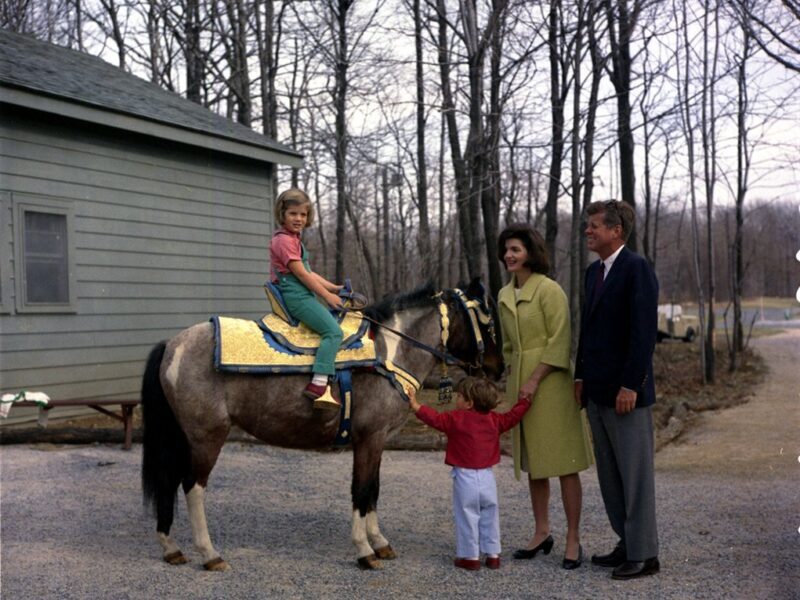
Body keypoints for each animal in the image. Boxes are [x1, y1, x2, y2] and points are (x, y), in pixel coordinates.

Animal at [138, 278, 500, 568]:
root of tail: (172, 345)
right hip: (206, 436)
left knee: (169, 481)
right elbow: (361, 490)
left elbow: (374, 489)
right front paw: (364, 550)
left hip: (181, 436)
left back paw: (172, 548)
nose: (499, 369)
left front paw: (380, 543)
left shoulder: (379, 440)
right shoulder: (368, 439)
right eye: (487, 320)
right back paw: (210, 554)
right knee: (192, 486)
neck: (389, 354)